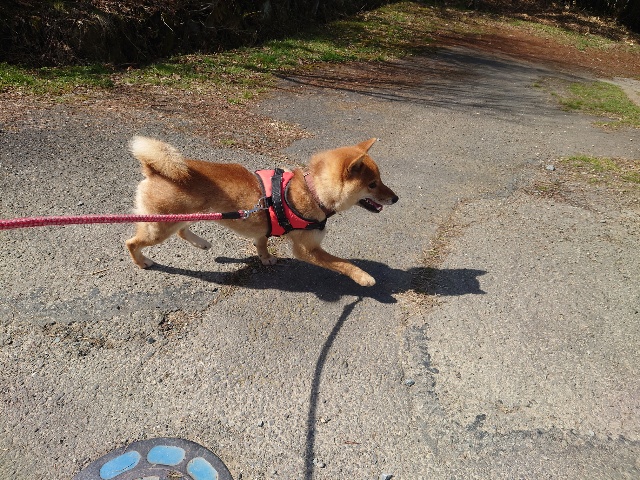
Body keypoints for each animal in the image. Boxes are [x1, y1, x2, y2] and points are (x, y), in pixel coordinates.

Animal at [126, 137, 398, 286]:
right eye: (372, 185)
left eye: (381, 180)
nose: (396, 198)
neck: (311, 191)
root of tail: (154, 169)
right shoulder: (307, 249)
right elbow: (342, 263)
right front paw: (363, 277)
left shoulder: (264, 228)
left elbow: (262, 243)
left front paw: (265, 258)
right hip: (160, 226)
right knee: (131, 242)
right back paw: (142, 261)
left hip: (185, 216)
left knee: (182, 231)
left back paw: (201, 243)